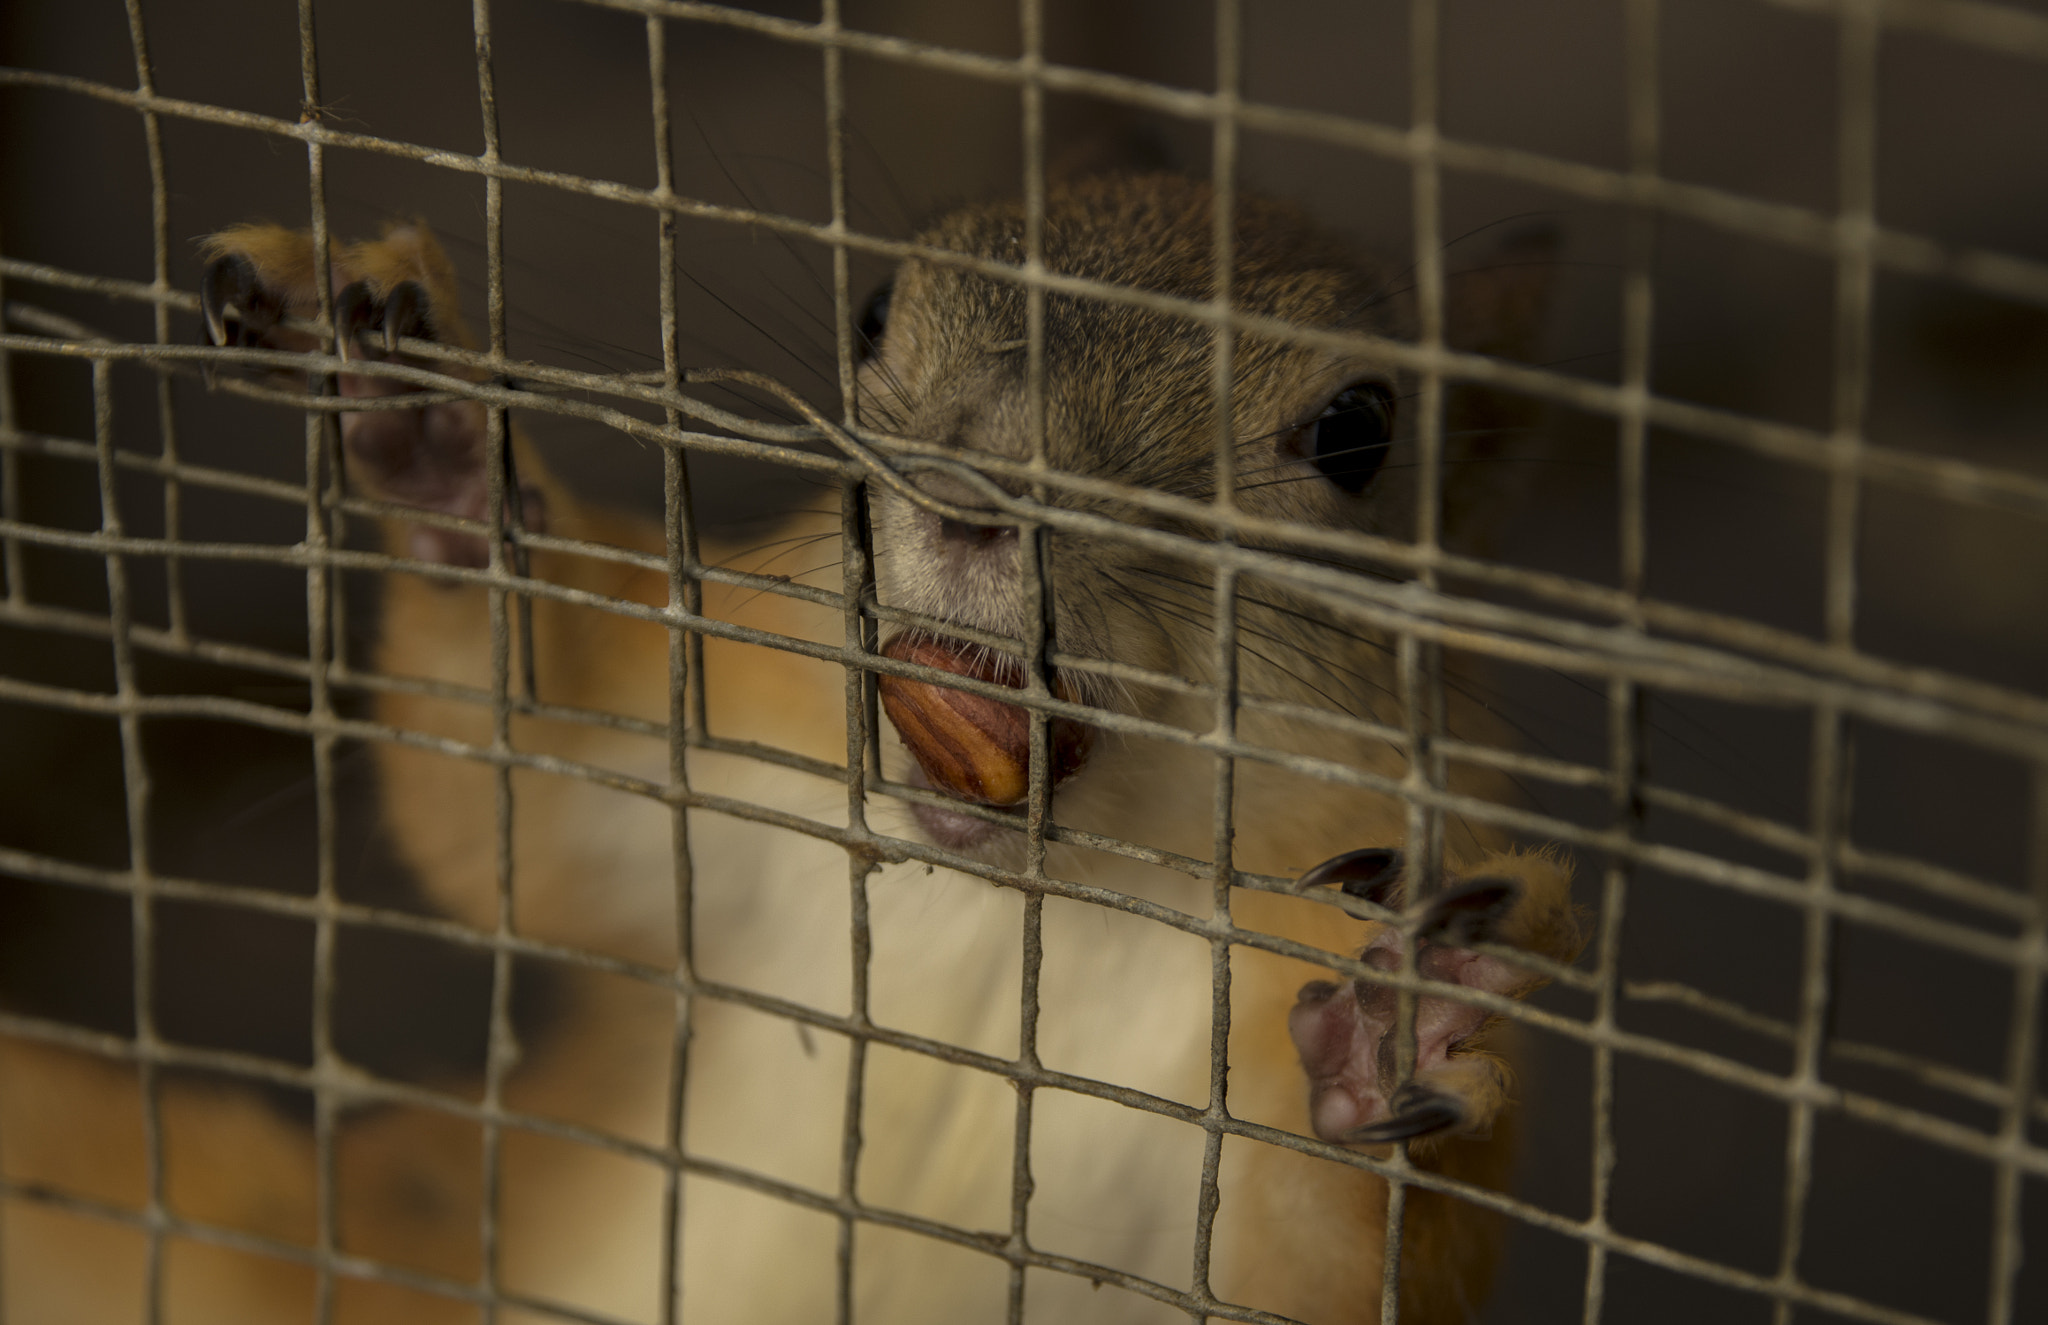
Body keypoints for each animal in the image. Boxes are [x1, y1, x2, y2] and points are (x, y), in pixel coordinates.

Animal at [0, 176, 1581, 1325]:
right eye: (877, 308)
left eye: (1357, 432)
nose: (967, 497)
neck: (1006, 901)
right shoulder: (725, 779)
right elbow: (519, 788)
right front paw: (431, 431)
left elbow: (1321, 1267)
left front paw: (1402, 1026)